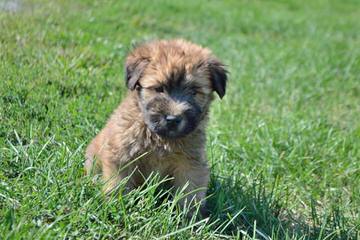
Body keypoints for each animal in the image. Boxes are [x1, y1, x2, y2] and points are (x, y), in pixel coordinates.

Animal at [84, 39, 228, 216]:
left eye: (194, 91)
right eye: (159, 88)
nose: (173, 119)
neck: (159, 138)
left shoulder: (191, 162)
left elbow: (190, 191)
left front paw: (188, 217)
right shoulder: (122, 154)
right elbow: (118, 183)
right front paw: (117, 206)